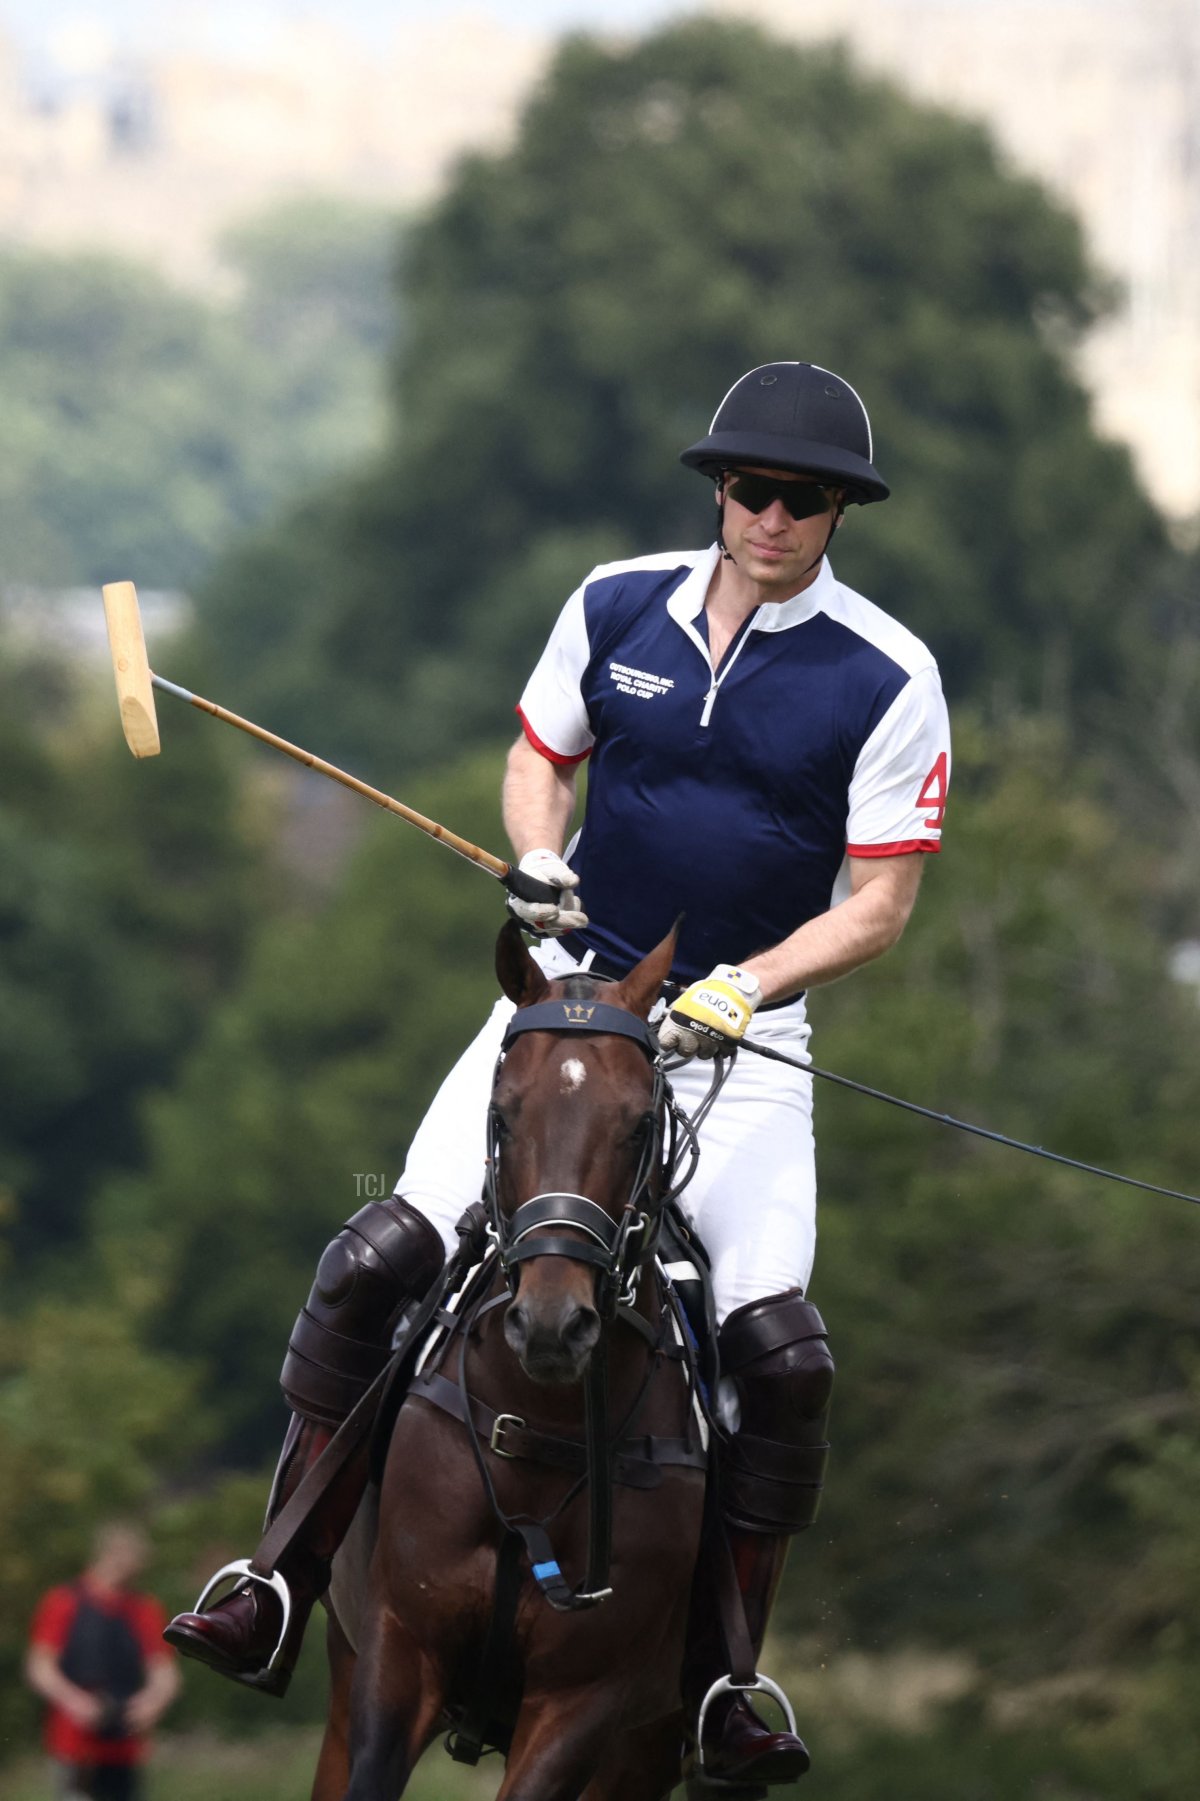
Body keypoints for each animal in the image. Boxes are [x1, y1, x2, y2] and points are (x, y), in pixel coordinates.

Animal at [315, 929, 709, 1801]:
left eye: (640, 1125)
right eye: (499, 1113)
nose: (553, 1326)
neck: (538, 1427)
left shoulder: (584, 1702)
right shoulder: (396, 1648)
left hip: (647, 1747)